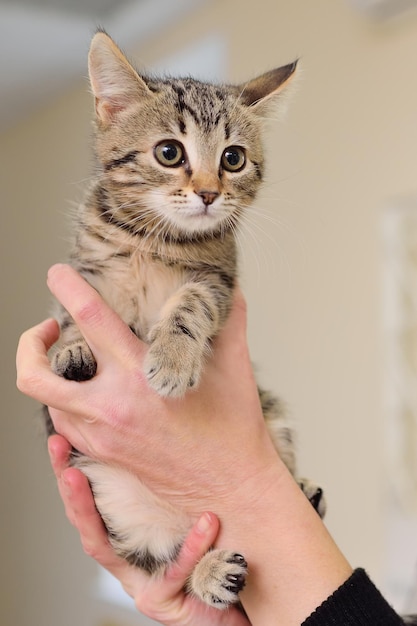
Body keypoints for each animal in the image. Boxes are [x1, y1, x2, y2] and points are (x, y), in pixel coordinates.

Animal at [48, 31, 324, 608]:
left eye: (233, 158)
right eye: (169, 153)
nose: (208, 192)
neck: (152, 239)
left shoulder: (219, 282)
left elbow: (191, 302)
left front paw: (173, 359)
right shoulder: (84, 271)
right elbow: (68, 313)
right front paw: (72, 346)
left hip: (274, 416)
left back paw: (299, 500)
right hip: (121, 516)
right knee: (162, 559)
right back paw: (209, 570)